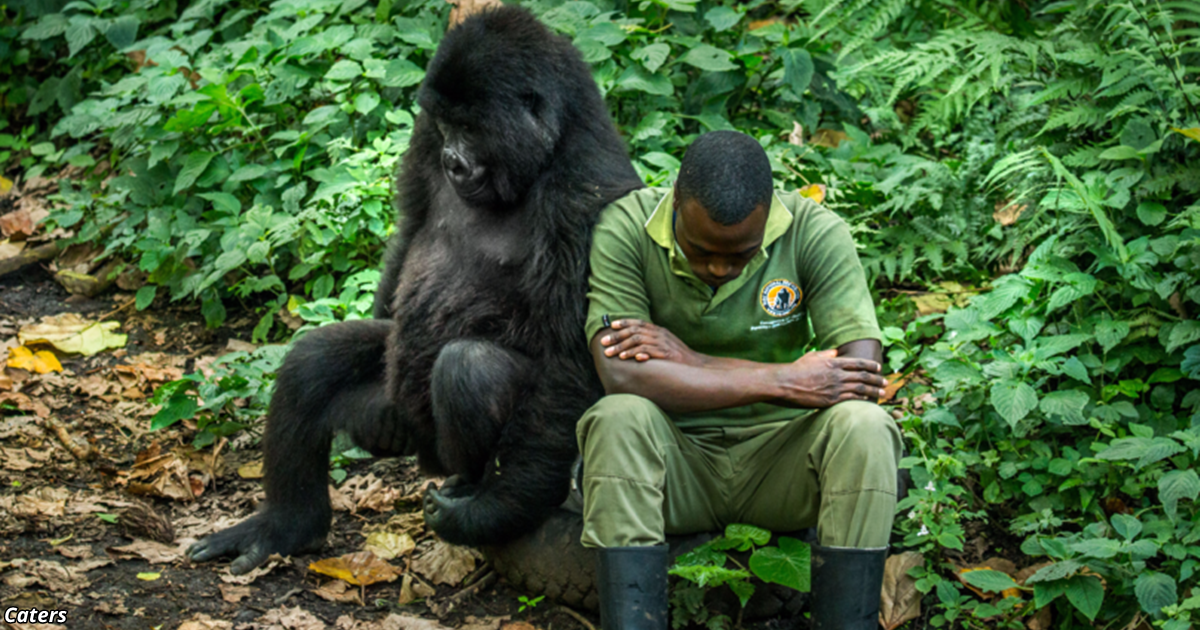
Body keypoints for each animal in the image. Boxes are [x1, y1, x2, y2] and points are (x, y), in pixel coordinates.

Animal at [189, 6, 648, 573]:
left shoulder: (587, 192)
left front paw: (494, 511)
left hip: (443, 454)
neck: (550, 143)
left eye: (471, 127)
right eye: (448, 125)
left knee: (469, 369)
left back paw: (472, 489)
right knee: (315, 359)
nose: (453, 159)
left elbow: (567, 359)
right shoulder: (424, 136)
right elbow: (409, 229)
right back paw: (286, 524)